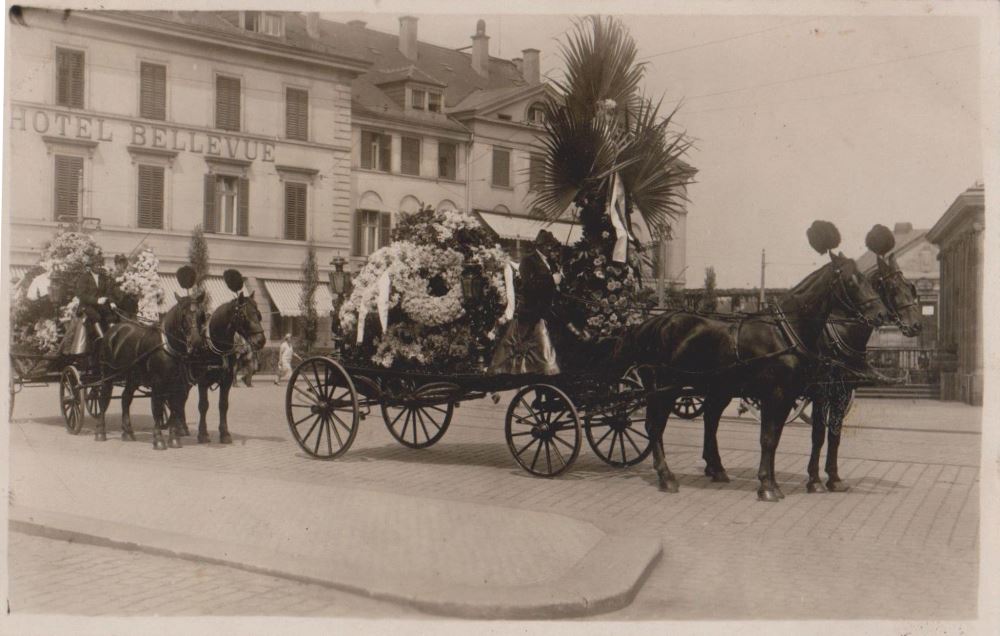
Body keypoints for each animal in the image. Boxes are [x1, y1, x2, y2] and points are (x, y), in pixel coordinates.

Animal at [96, 286, 208, 450]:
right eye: (184, 315)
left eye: (201, 315)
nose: (196, 342)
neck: (169, 346)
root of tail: (113, 330)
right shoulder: (158, 384)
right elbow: (157, 409)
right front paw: (159, 440)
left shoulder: (179, 386)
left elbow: (175, 409)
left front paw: (174, 439)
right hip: (108, 375)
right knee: (103, 399)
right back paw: (100, 432)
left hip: (133, 377)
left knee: (125, 398)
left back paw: (128, 432)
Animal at [185, 270, 268, 444]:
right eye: (243, 315)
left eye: (258, 315)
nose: (261, 340)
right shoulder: (202, 381)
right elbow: (203, 405)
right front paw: (203, 434)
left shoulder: (227, 380)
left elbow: (223, 405)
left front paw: (224, 433)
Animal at [612, 224, 888, 502]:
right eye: (852, 281)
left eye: (869, 280)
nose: (880, 314)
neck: (786, 332)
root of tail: (654, 322)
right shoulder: (778, 395)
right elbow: (769, 438)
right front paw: (768, 486)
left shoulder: (791, 396)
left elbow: (776, 437)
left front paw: (775, 482)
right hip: (665, 388)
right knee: (655, 426)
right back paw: (666, 476)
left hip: (712, 389)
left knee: (704, 421)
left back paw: (714, 470)